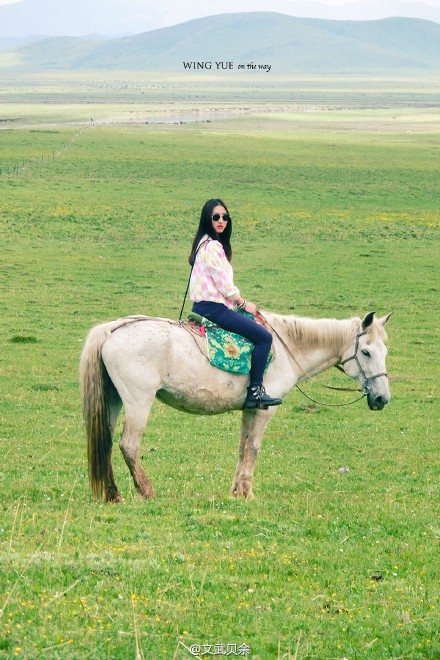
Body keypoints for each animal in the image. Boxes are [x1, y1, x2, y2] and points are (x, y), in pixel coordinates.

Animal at [79, 310, 391, 502]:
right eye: (366, 352)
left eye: (384, 352)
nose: (381, 399)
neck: (287, 348)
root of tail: (112, 330)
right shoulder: (265, 409)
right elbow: (253, 448)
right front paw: (248, 493)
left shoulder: (249, 409)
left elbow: (242, 448)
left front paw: (236, 491)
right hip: (138, 401)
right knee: (129, 445)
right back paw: (147, 492)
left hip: (113, 400)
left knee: (106, 443)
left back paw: (113, 494)